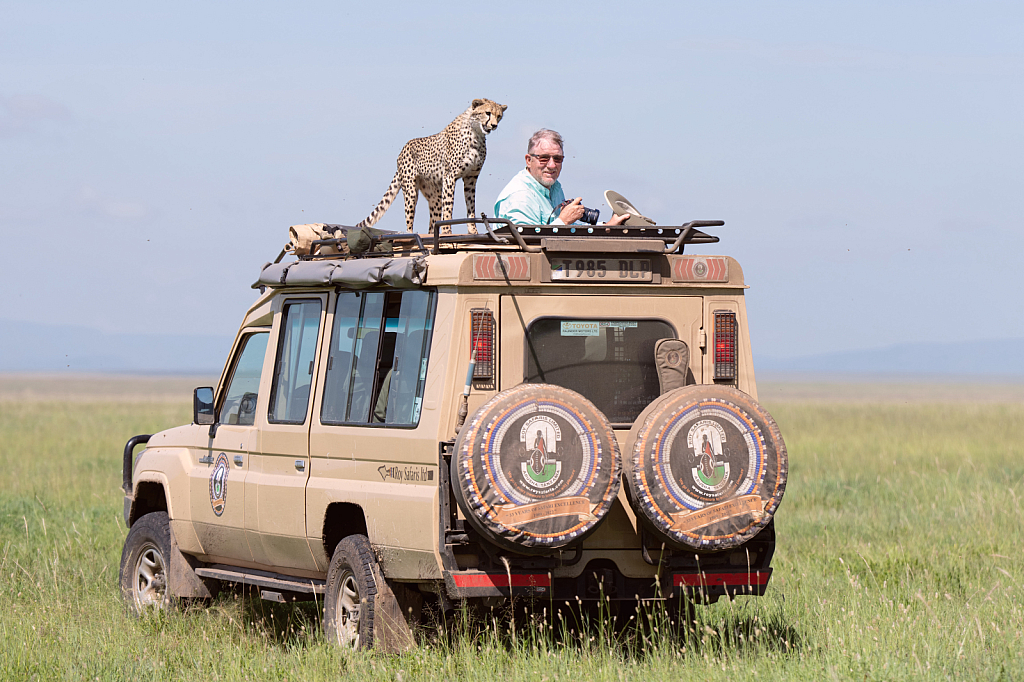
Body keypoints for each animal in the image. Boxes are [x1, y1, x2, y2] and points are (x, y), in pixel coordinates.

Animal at [356, 96, 507, 236]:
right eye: (487, 113)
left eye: (499, 116)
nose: (494, 125)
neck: (476, 133)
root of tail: (403, 149)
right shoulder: (450, 176)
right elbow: (448, 206)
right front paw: (447, 232)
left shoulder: (471, 178)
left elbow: (471, 205)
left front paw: (473, 230)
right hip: (411, 190)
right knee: (409, 219)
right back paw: (410, 235)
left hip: (434, 195)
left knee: (433, 221)